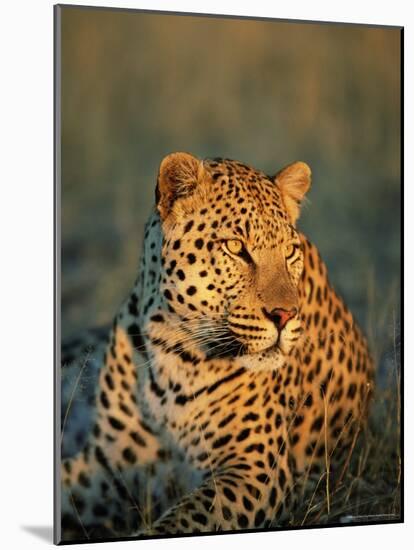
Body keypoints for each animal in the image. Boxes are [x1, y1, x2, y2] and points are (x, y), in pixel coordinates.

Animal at [59, 152, 374, 544]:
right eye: (236, 247)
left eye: (290, 251)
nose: (285, 315)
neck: (174, 346)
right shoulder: (108, 465)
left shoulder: (254, 469)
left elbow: (184, 518)